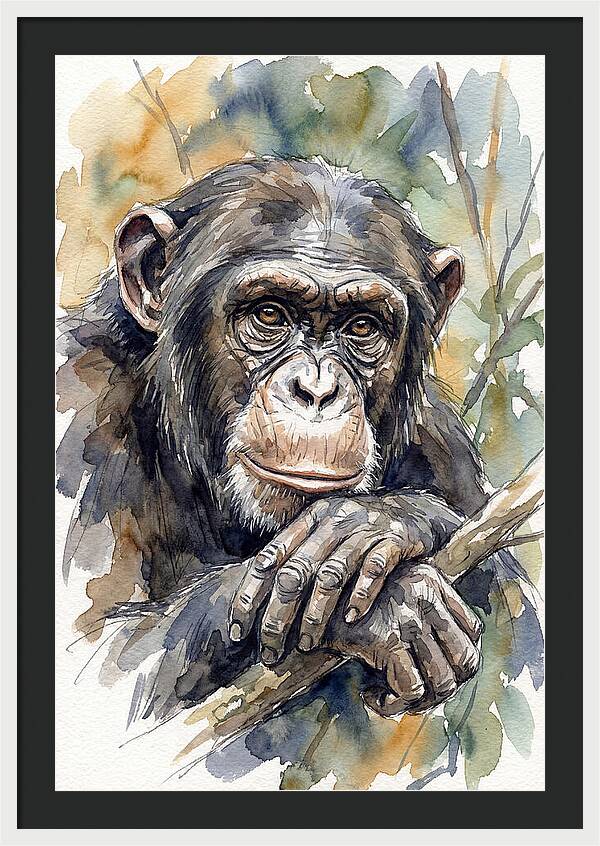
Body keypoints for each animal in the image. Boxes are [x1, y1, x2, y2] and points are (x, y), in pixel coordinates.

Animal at [57, 157, 531, 725]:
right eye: (269, 314)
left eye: (362, 326)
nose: (317, 390)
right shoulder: (79, 405)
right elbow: (100, 659)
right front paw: (395, 604)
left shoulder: (441, 440)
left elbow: (519, 618)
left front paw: (375, 523)